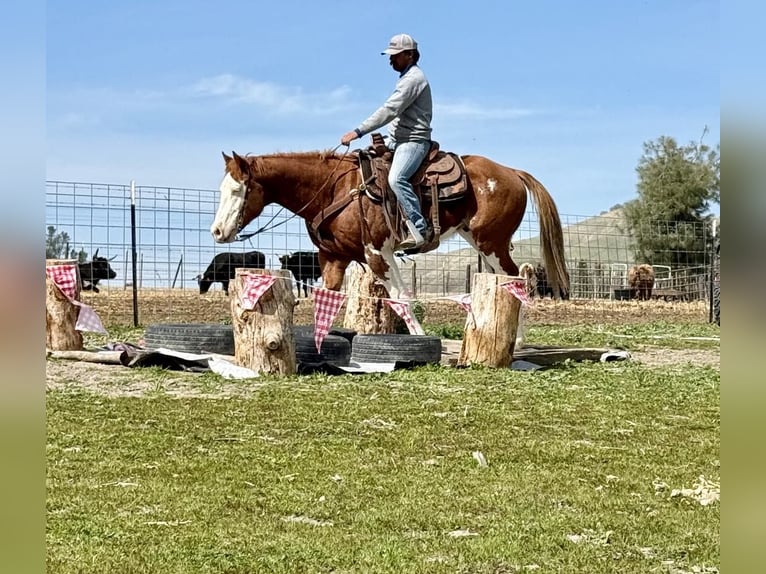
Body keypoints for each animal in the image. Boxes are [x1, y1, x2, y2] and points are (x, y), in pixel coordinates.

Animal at [210, 150, 569, 299]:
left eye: (238, 190)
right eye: (221, 189)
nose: (217, 231)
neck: (334, 188)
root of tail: (513, 172)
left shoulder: (377, 253)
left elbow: (400, 295)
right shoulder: (333, 258)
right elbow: (326, 299)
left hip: (492, 243)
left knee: (517, 279)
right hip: (481, 243)